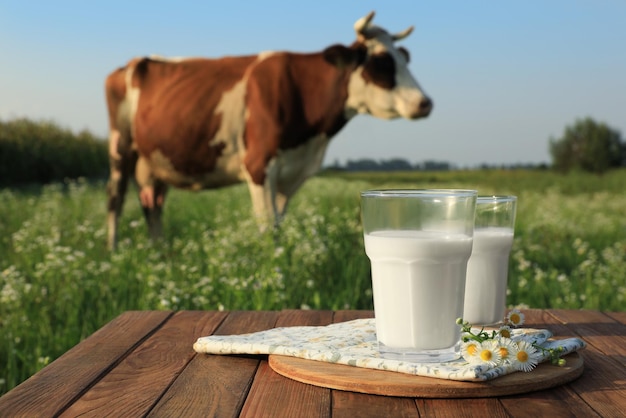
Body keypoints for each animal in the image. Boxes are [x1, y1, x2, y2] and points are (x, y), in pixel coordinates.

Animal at [105, 11, 432, 250]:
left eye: (404, 58)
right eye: (381, 62)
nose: (425, 103)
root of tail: (129, 64)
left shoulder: (291, 172)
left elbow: (278, 222)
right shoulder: (259, 165)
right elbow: (266, 226)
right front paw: (270, 263)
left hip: (155, 161)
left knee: (152, 204)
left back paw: (159, 252)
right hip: (120, 147)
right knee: (115, 200)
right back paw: (114, 252)